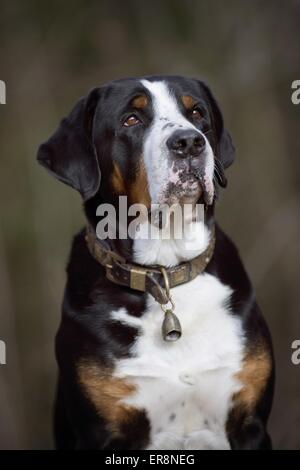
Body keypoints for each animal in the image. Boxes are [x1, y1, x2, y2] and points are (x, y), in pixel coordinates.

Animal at [37, 75, 274, 450]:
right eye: (131, 120)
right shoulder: (101, 434)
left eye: (197, 113)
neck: (164, 271)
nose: (189, 142)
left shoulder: (250, 423)